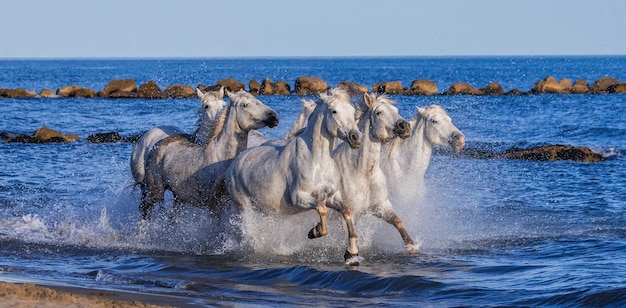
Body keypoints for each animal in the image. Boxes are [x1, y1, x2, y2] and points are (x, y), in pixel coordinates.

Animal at [143, 88, 280, 220]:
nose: (274, 117)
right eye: (245, 104)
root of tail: (157, 145)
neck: (222, 157)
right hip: (155, 193)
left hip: (179, 197)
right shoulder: (214, 208)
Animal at [332, 92, 414, 264]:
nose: (405, 126)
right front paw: (351, 254)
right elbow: (349, 235)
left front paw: (411, 246)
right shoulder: (350, 212)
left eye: (396, 110)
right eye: (379, 112)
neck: (362, 172)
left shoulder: (381, 206)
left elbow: (398, 222)